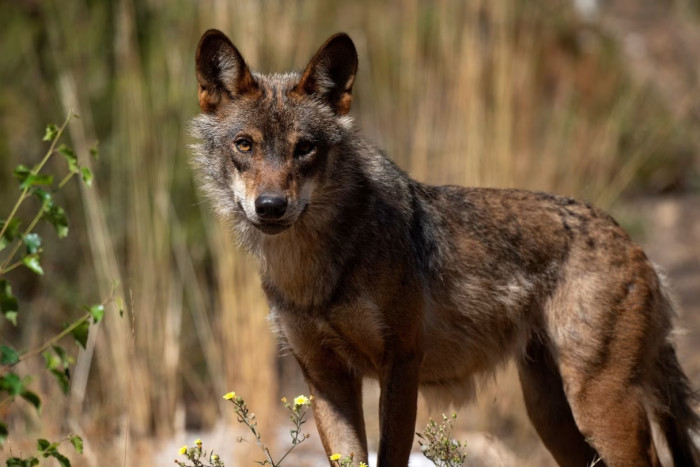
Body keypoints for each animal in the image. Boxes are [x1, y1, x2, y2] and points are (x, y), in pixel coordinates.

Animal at [189, 30, 696, 467]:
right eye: (245, 145)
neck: (314, 272)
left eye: (305, 148)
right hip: (551, 416)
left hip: (598, 407)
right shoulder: (325, 377)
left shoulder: (401, 364)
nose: (271, 207)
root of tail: (633, 243)